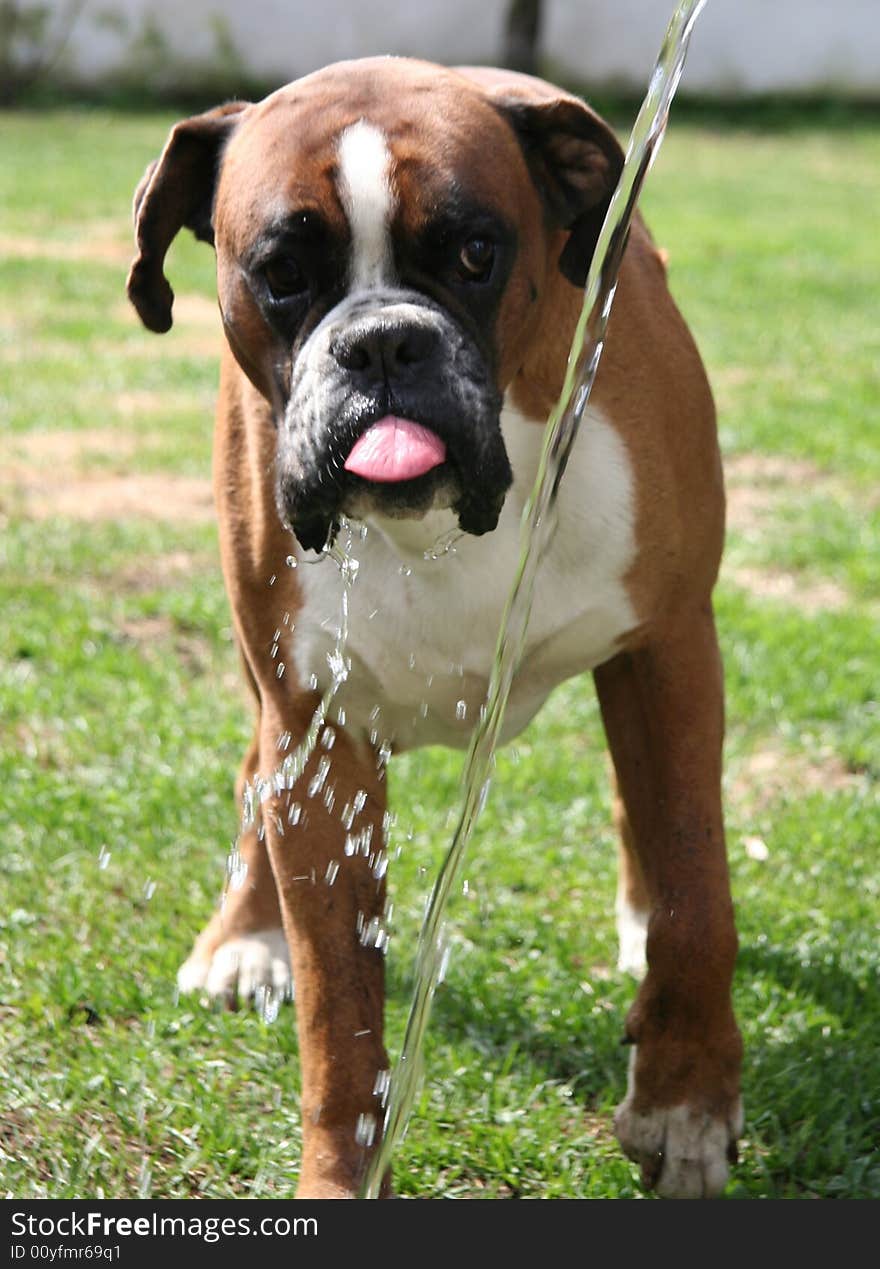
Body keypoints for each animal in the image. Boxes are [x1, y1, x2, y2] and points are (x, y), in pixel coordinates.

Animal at [125, 52, 741, 1197]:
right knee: (251, 775)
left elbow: (694, 884)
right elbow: (340, 1008)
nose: (383, 344)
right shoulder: (316, 737)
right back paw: (245, 935)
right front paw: (338, 1174)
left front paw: (685, 1099)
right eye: (282, 271)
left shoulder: (671, 643)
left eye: (474, 253)